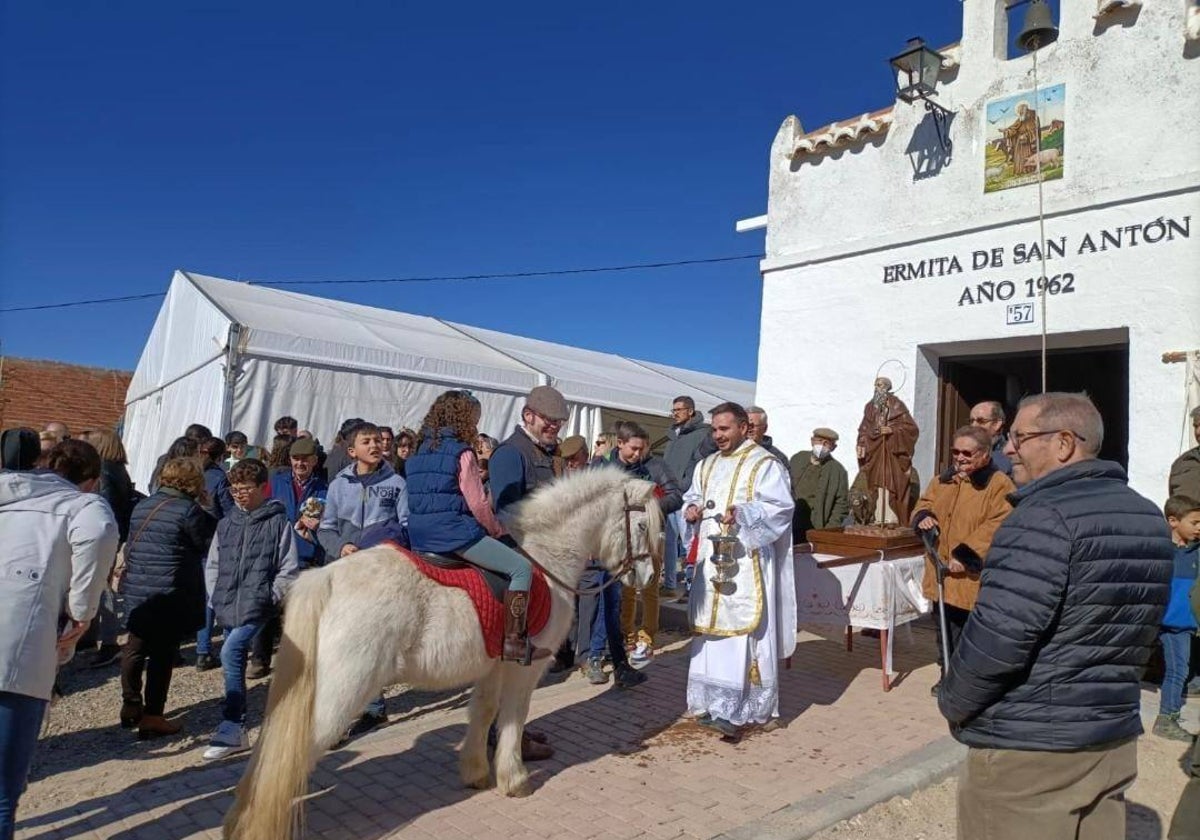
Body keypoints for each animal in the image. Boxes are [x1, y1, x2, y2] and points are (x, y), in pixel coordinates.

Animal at [225, 465, 667, 840]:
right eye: (642, 524)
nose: (647, 576)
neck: (544, 555)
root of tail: (326, 577)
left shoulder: (494, 665)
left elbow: (483, 712)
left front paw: (475, 772)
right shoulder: (525, 669)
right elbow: (513, 717)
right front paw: (514, 778)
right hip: (341, 694)